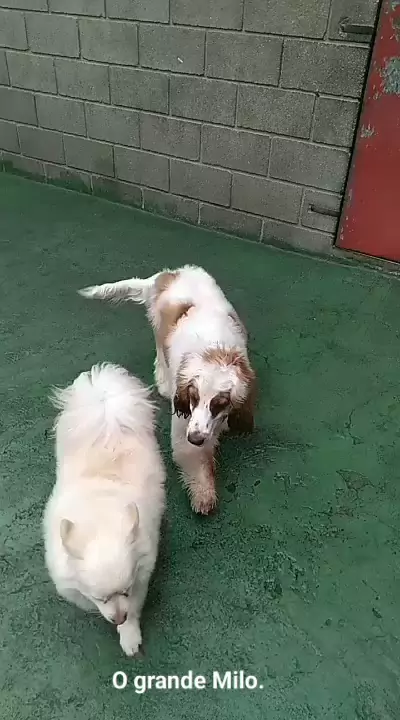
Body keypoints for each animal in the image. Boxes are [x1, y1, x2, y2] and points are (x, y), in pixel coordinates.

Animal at [43, 363, 165, 656]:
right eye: (100, 598)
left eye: (126, 590)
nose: (118, 617)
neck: (98, 516)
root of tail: (105, 402)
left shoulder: (141, 574)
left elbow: (136, 606)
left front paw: (129, 634)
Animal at [79, 266, 256, 515]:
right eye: (193, 397)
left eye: (220, 403)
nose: (196, 438)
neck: (216, 352)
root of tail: (168, 274)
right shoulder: (185, 427)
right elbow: (195, 460)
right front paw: (203, 495)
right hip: (158, 328)